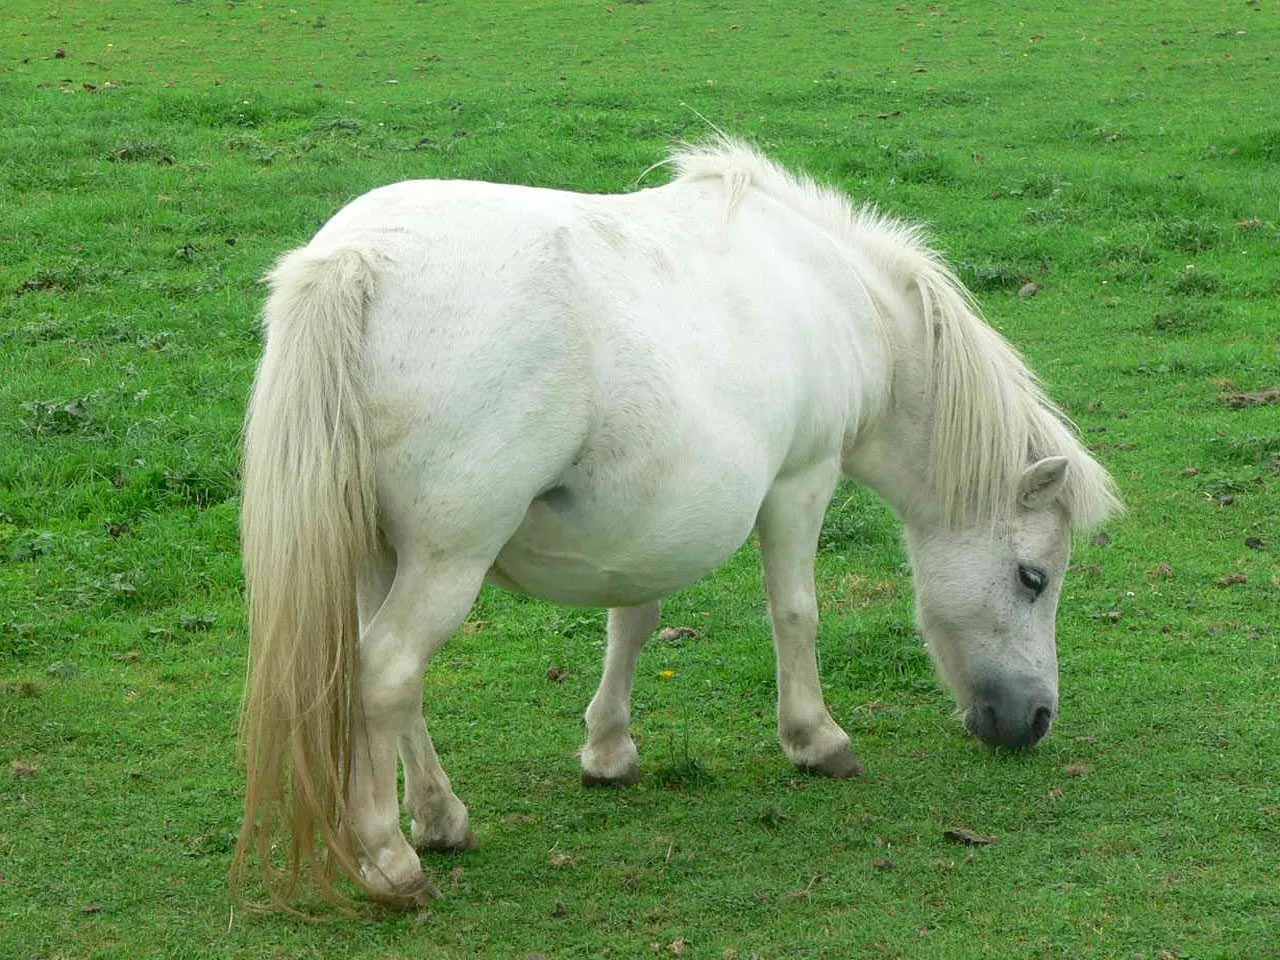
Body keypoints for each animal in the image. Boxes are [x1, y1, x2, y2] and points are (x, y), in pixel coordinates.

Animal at [232, 142, 1121, 911]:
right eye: (1034, 578)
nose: (1035, 721)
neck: (834, 290)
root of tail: (358, 258)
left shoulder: (646, 521)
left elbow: (634, 619)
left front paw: (609, 751)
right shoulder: (802, 480)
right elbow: (796, 614)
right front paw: (816, 739)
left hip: (383, 555)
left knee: (388, 679)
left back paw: (442, 818)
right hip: (448, 559)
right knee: (386, 671)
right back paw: (390, 859)